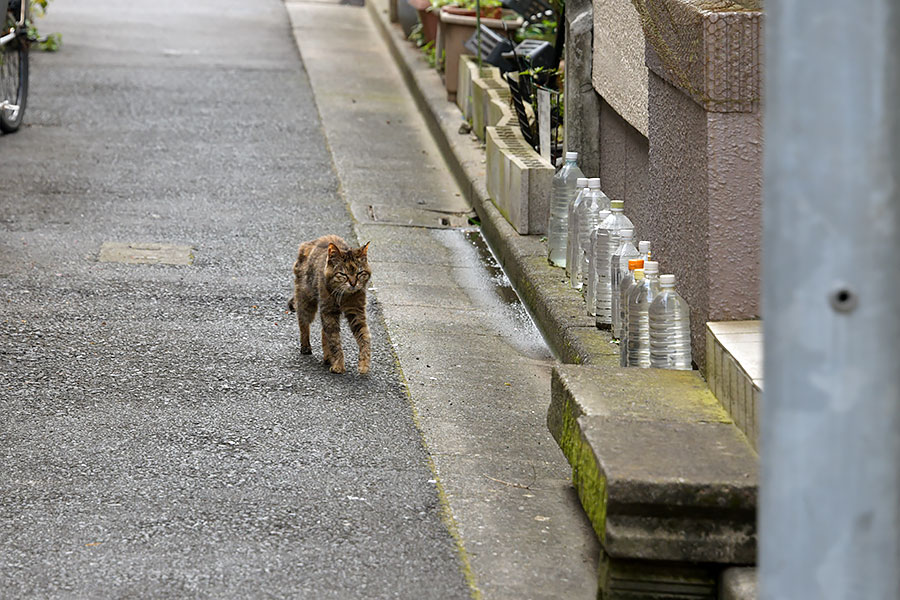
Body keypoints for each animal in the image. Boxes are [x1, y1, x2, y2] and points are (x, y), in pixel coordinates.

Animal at [290, 236, 370, 372]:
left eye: (359, 273)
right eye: (343, 274)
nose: (353, 283)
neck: (344, 296)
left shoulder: (356, 311)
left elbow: (364, 337)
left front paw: (364, 364)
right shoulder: (329, 311)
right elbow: (334, 340)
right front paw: (338, 364)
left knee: (323, 331)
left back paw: (327, 357)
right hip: (306, 300)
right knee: (303, 322)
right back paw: (306, 347)